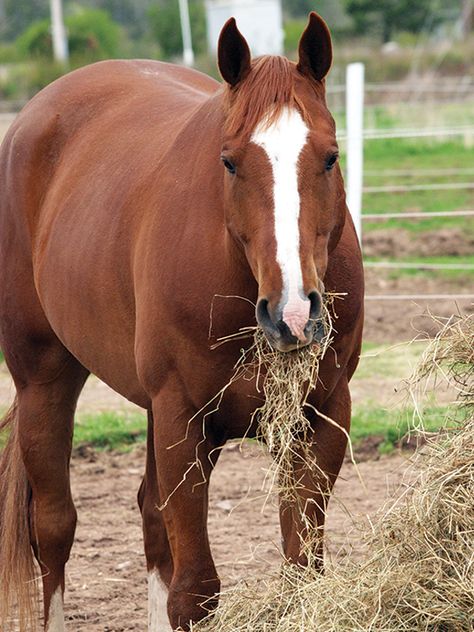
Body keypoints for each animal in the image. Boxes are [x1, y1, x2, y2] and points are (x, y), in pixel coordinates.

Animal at [0, 13, 362, 632]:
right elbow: (195, 590)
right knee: (53, 528)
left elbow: (302, 572)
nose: (292, 313)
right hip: (44, 381)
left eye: (331, 157)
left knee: (149, 518)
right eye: (230, 161)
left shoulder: (322, 418)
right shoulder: (182, 420)